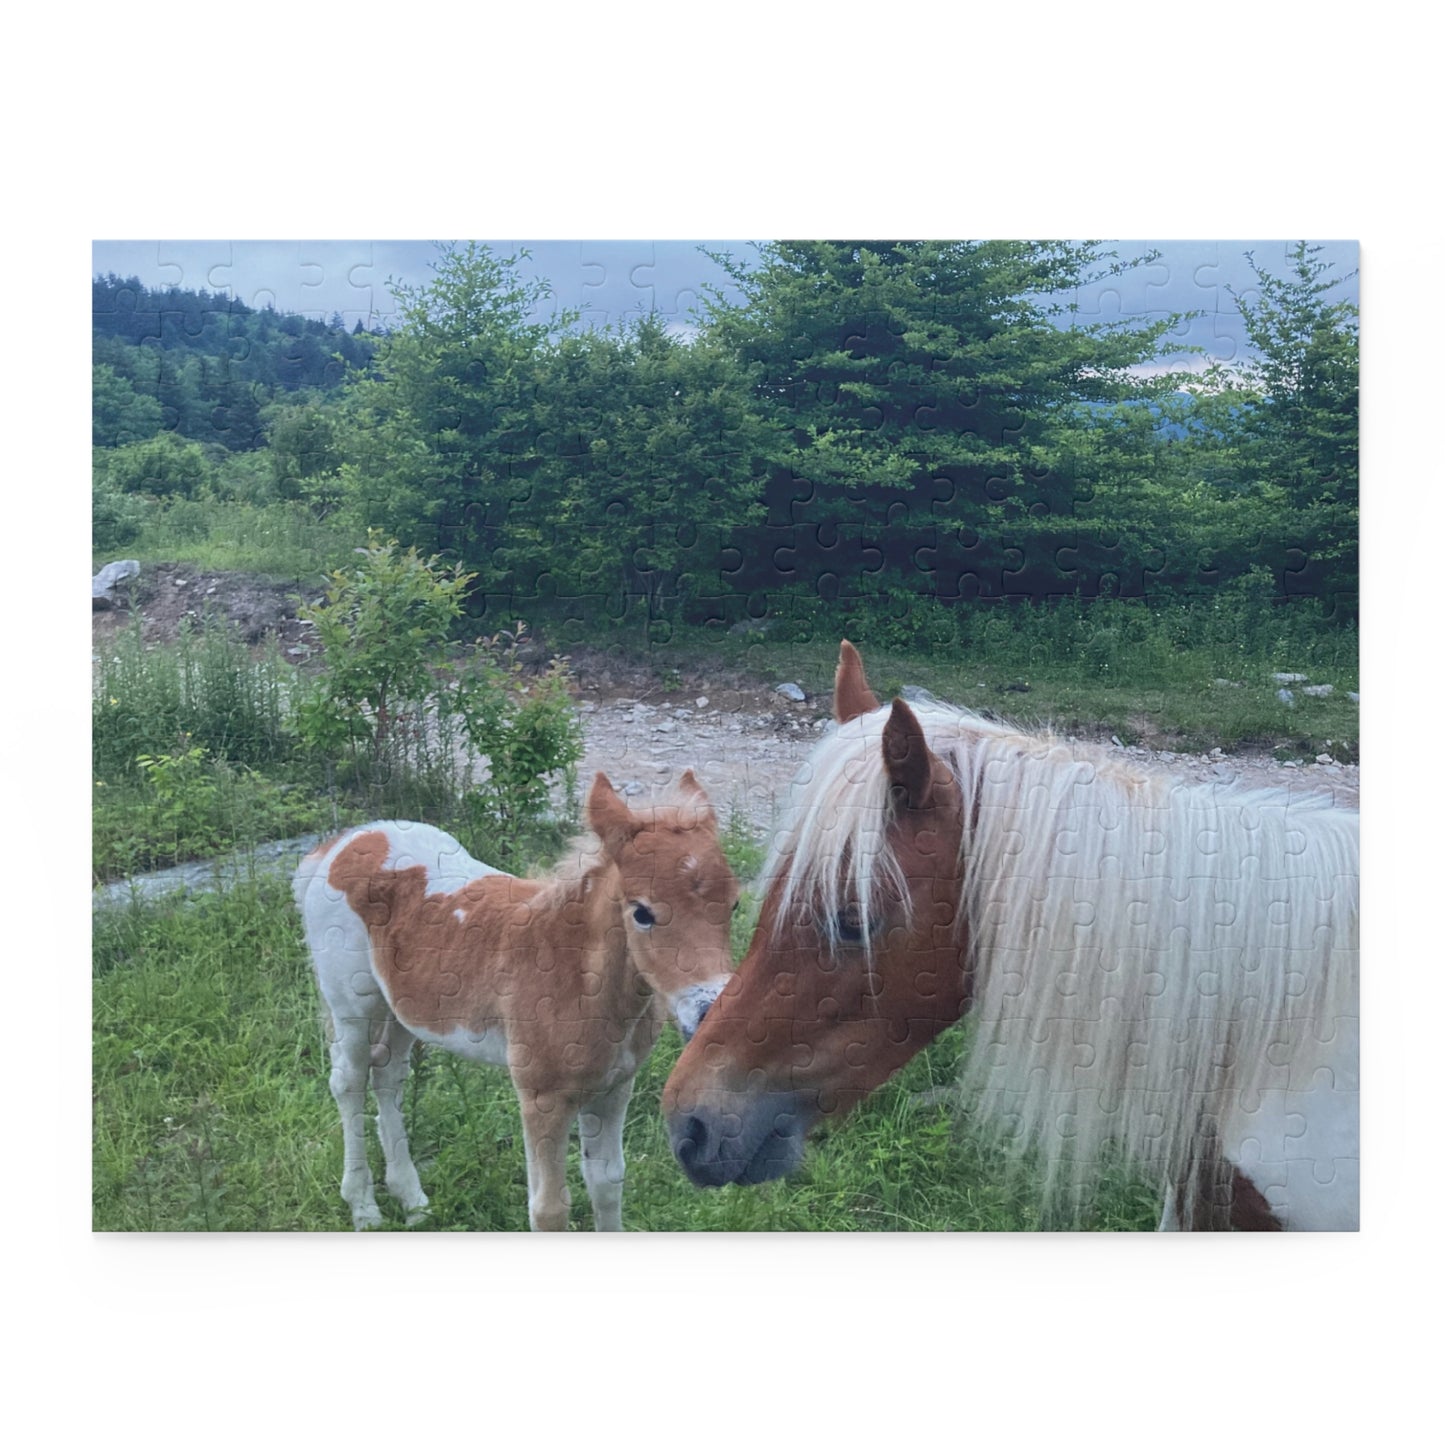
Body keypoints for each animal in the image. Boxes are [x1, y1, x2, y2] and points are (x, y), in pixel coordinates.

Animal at [294, 770, 739, 1230]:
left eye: (734, 906)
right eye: (642, 912)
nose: (707, 1011)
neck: (578, 979)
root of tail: (344, 843)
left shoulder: (615, 1087)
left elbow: (607, 1183)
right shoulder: (541, 1096)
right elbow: (548, 1209)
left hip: (403, 1008)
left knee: (387, 1074)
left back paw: (412, 1200)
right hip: (351, 1003)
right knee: (349, 1081)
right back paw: (364, 1208)